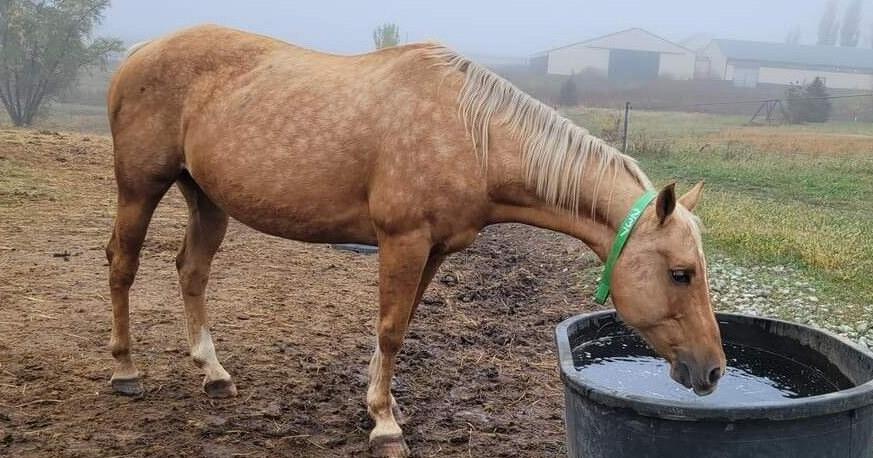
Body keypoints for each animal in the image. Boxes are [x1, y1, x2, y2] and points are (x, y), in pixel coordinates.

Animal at [105, 25, 725, 457]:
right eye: (681, 273)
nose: (714, 371)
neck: (472, 133)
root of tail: (139, 51)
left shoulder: (435, 249)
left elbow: (400, 327)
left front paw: (383, 403)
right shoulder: (402, 241)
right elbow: (390, 328)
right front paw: (384, 425)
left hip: (207, 199)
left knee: (191, 271)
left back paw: (213, 374)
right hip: (140, 187)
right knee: (122, 265)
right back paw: (126, 372)